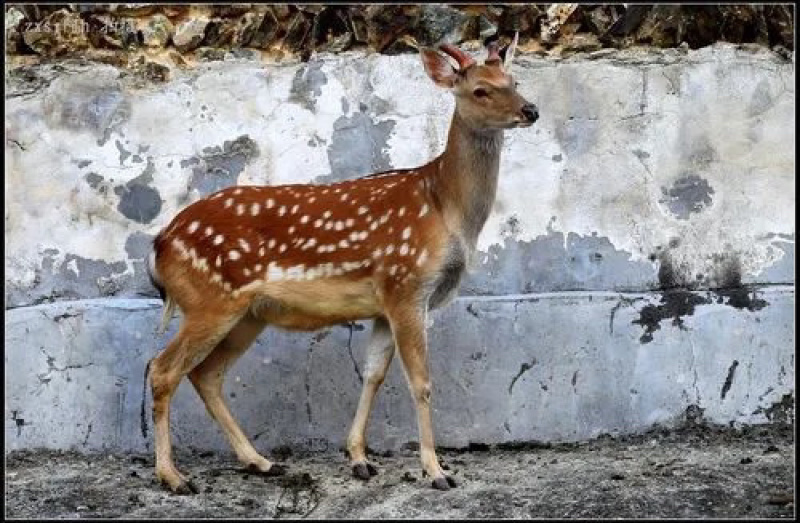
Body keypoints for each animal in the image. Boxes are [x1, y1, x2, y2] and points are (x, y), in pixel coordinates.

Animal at [147, 36, 540, 496]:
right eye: (480, 90)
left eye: (513, 81)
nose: (530, 110)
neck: (446, 207)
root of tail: (160, 243)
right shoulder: (407, 284)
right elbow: (421, 382)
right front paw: (436, 470)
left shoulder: (383, 304)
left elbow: (372, 374)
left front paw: (359, 459)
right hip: (209, 300)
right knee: (163, 369)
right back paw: (174, 477)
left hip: (247, 313)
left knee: (206, 375)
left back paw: (260, 462)